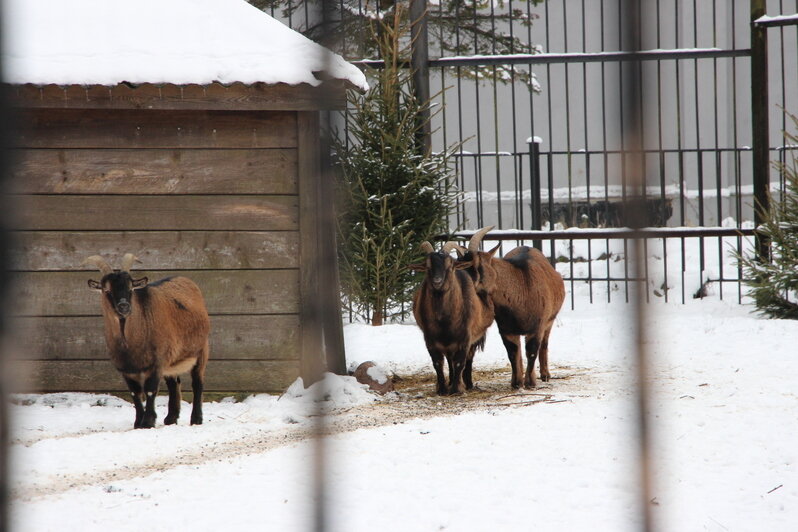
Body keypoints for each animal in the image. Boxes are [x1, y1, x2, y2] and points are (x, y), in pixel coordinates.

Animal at [84, 254, 211, 428]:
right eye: (107, 290)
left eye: (131, 288)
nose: (124, 306)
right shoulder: (126, 369)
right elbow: (135, 393)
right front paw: (138, 422)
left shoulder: (155, 363)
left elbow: (150, 390)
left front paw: (148, 421)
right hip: (170, 360)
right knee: (174, 383)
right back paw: (171, 418)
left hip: (201, 349)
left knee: (197, 383)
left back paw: (196, 419)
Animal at [412, 241, 494, 394]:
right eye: (428, 266)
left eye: (449, 266)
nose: (437, 281)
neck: (444, 321)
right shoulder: (430, 339)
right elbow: (437, 363)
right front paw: (443, 389)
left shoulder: (465, 338)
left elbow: (460, 362)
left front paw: (457, 389)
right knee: (450, 359)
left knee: (468, 359)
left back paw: (468, 384)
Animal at [456, 227, 568, 388]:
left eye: (475, 265)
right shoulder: (506, 330)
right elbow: (513, 352)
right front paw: (516, 383)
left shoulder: (537, 327)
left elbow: (532, 351)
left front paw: (530, 382)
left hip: (550, 320)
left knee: (544, 344)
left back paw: (545, 374)